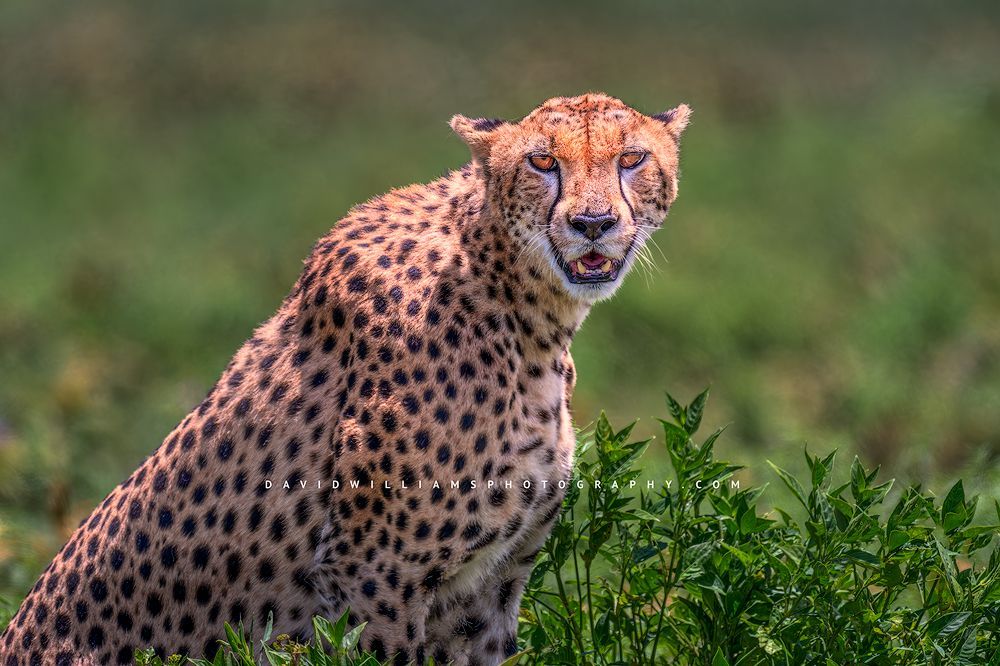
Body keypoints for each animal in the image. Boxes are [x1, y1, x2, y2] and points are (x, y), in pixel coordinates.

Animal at [0, 92, 690, 666]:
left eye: (632, 158)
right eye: (543, 161)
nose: (593, 223)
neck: (525, 306)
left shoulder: (483, 592)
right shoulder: (375, 574)